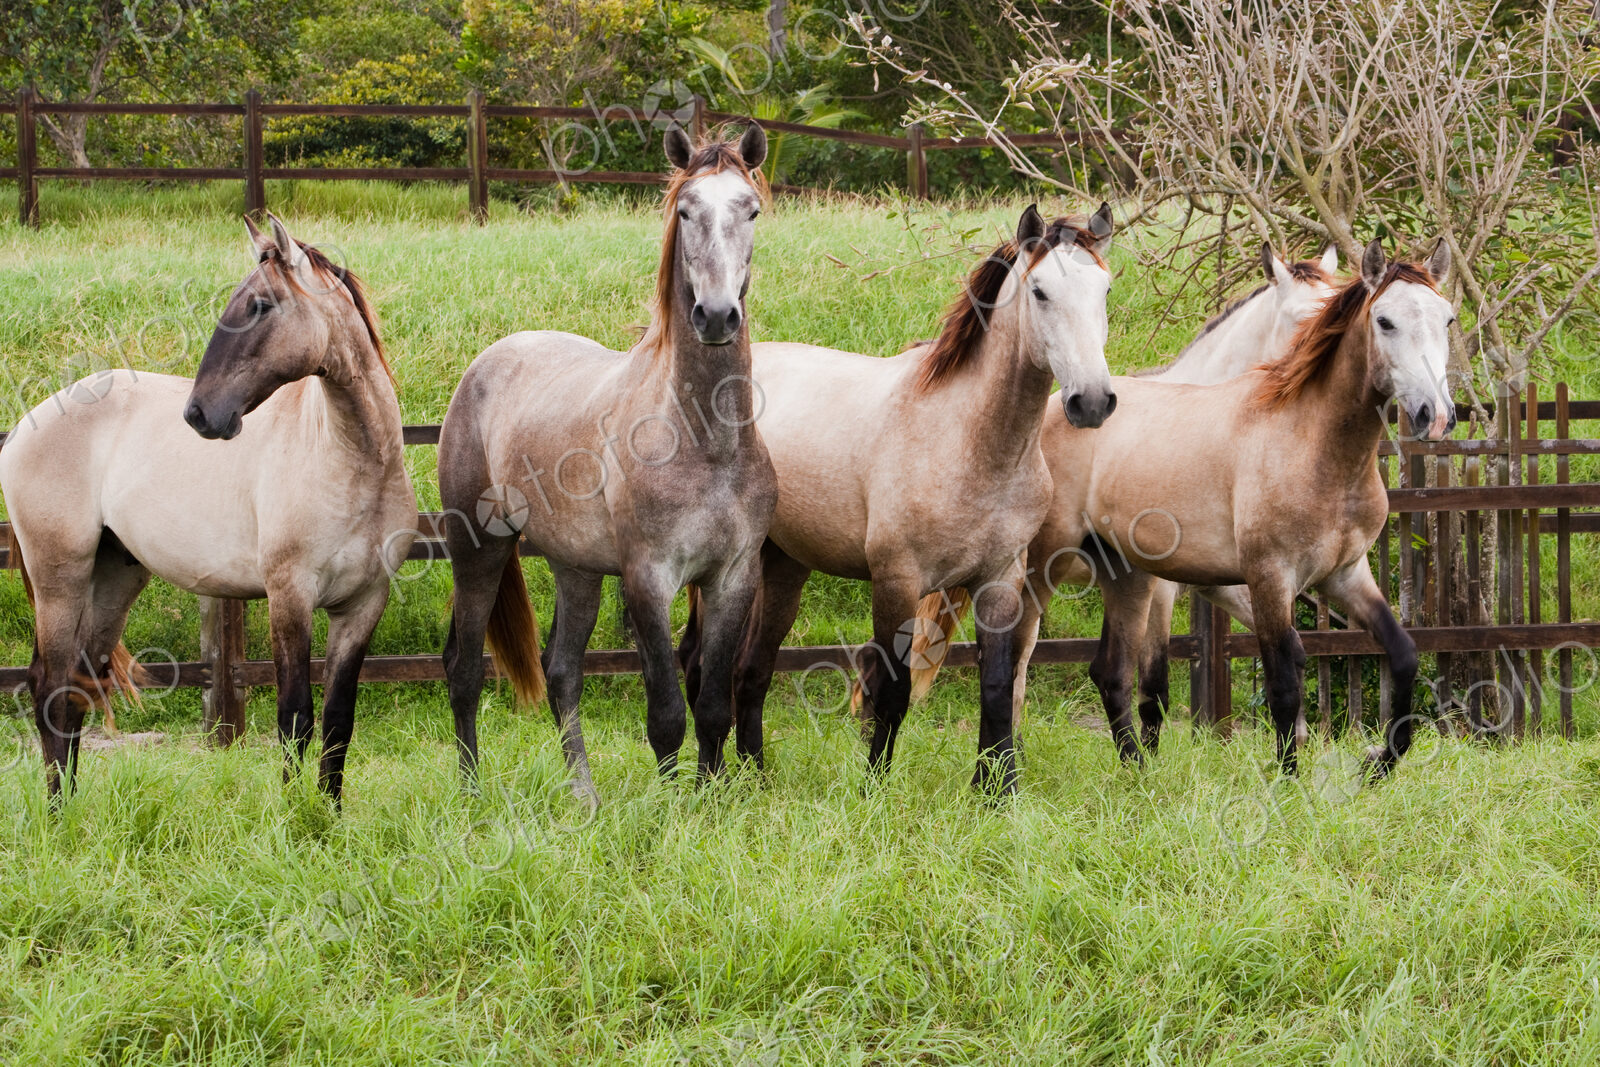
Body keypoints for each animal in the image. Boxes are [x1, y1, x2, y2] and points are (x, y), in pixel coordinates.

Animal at [0, 214, 417, 802]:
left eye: (261, 305)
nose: (198, 414)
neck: (356, 464)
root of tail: (23, 426)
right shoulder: (290, 596)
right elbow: (295, 717)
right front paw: (296, 817)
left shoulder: (362, 605)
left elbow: (338, 721)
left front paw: (330, 814)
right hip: (61, 578)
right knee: (50, 689)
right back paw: (59, 813)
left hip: (113, 579)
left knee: (75, 691)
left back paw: (74, 808)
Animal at [437, 124, 775, 803]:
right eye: (685, 210)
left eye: (750, 209)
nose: (717, 316)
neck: (706, 443)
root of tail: (485, 364)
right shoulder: (648, 579)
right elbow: (667, 713)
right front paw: (672, 809)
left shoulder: (732, 578)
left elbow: (712, 708)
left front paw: (710, 800)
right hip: (479, 552)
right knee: (463, 672)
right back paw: (471, 792)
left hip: (577, 569)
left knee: (562, 673)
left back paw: (584, 798)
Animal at [678, 203, 1119, 795]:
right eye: (1041, 292)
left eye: (1105, 291)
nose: (1091, 401)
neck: (969, 441)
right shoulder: (897, 580)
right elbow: (892, 691)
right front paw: (874, 789)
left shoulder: (1000, 580)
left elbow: (998, 689)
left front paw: (996, 793)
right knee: (702, 665)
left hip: (784, 566)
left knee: (752, 670)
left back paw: (757, 777)